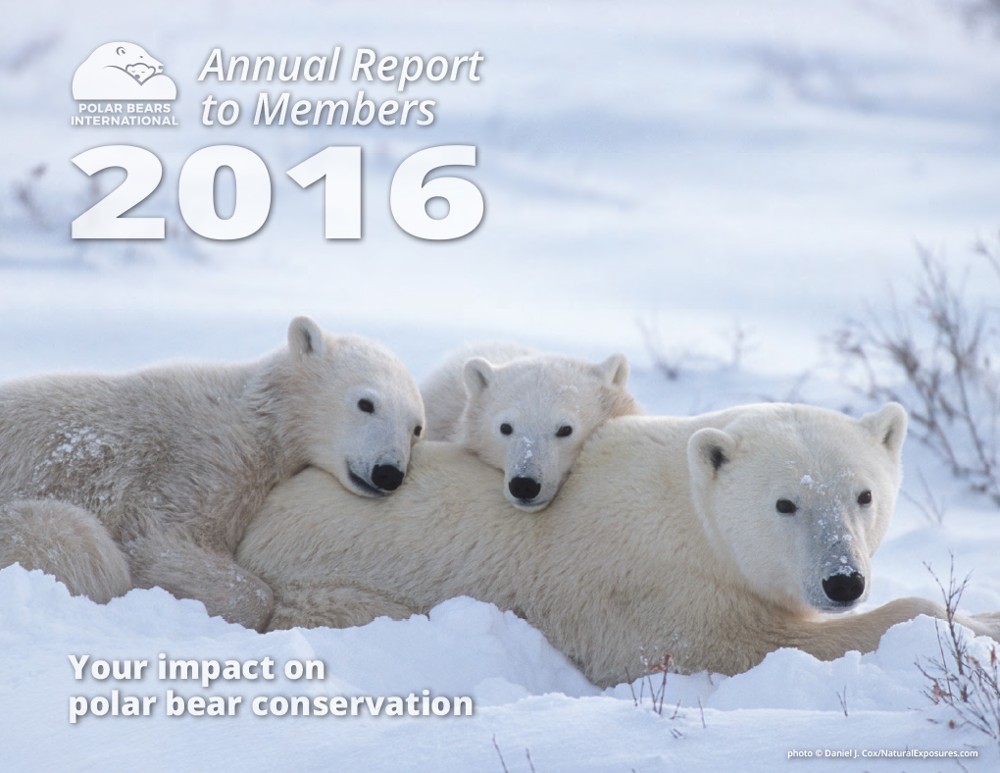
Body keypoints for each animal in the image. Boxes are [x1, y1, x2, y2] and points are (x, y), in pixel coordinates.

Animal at [0, 316, 425, 630]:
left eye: (416, 428)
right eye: (366, 403)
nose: (388, 473)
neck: (258, 421)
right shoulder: (194, 465)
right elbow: (157, 541)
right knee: (76, 542)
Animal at [235, 401, 1000, 686]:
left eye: (863, 495)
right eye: (786, 503)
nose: (843, 581)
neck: (688, 514)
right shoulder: (659, 595)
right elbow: (747, 645)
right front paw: (959, 631)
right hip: (329, 590)